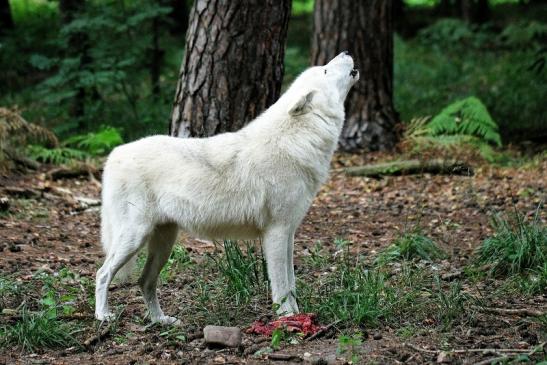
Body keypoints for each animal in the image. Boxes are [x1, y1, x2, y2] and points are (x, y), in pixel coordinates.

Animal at [95, 52, 360, 322]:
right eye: (325, 70)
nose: (345, 53)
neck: (296, 141)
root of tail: (114, 154)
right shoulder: (276, 232)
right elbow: (282, 286)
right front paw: (286, 319)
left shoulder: (289, 233)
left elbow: (292, 283)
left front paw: (298, 316)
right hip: (134, 238)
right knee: (102, 273)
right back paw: (103, 315)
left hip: (163, 243)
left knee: (144, 281)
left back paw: (161, 320)